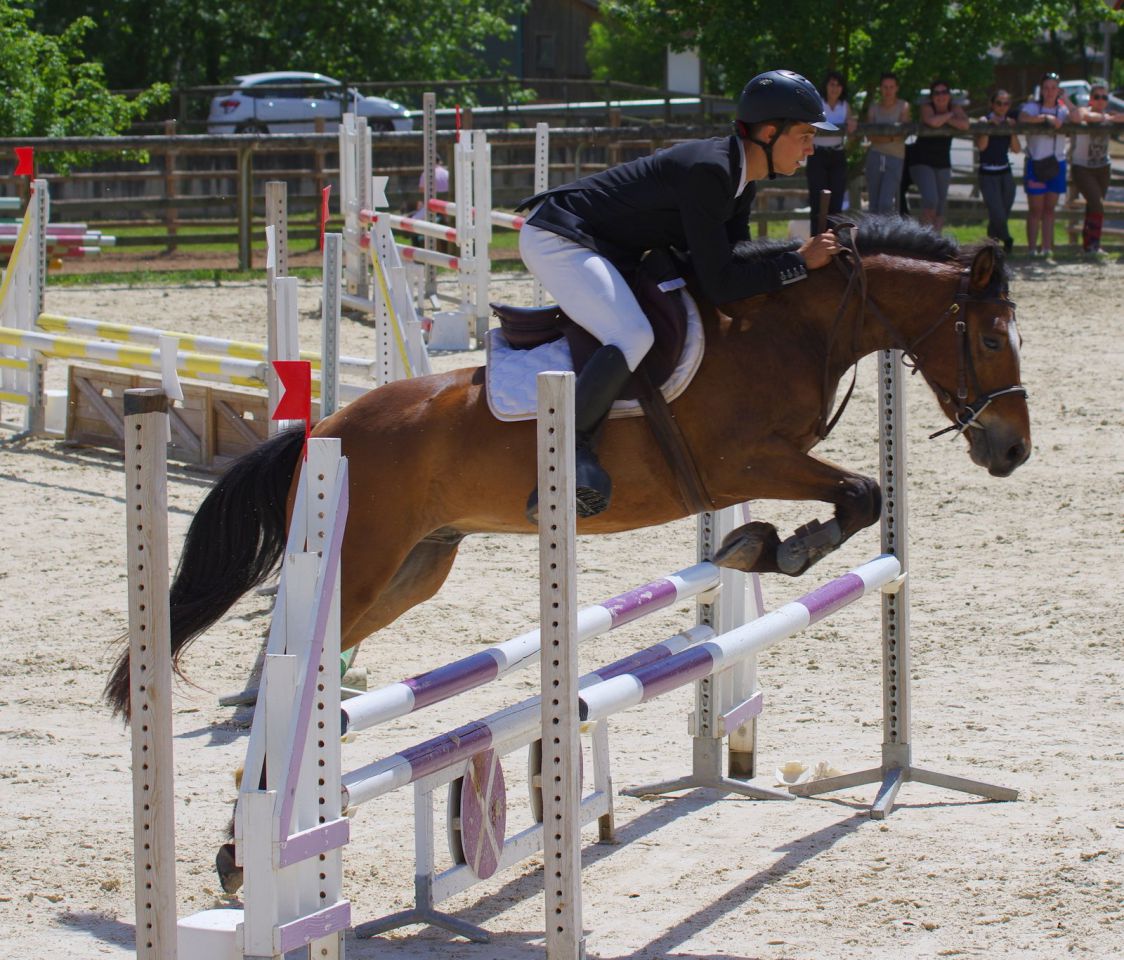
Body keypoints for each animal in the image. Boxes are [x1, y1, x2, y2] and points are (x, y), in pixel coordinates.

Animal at [105, 215, 1031, 719]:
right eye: (991, 337)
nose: (1013, 449)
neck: (790, 324)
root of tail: (323, 430)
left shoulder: (761, 465)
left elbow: (858, 498)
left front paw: (764, 546)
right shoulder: (744, 461)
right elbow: (860, 492)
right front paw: (782, 547)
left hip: (416, 567)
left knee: (320, 638)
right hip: (365, 559)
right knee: (300, 641)